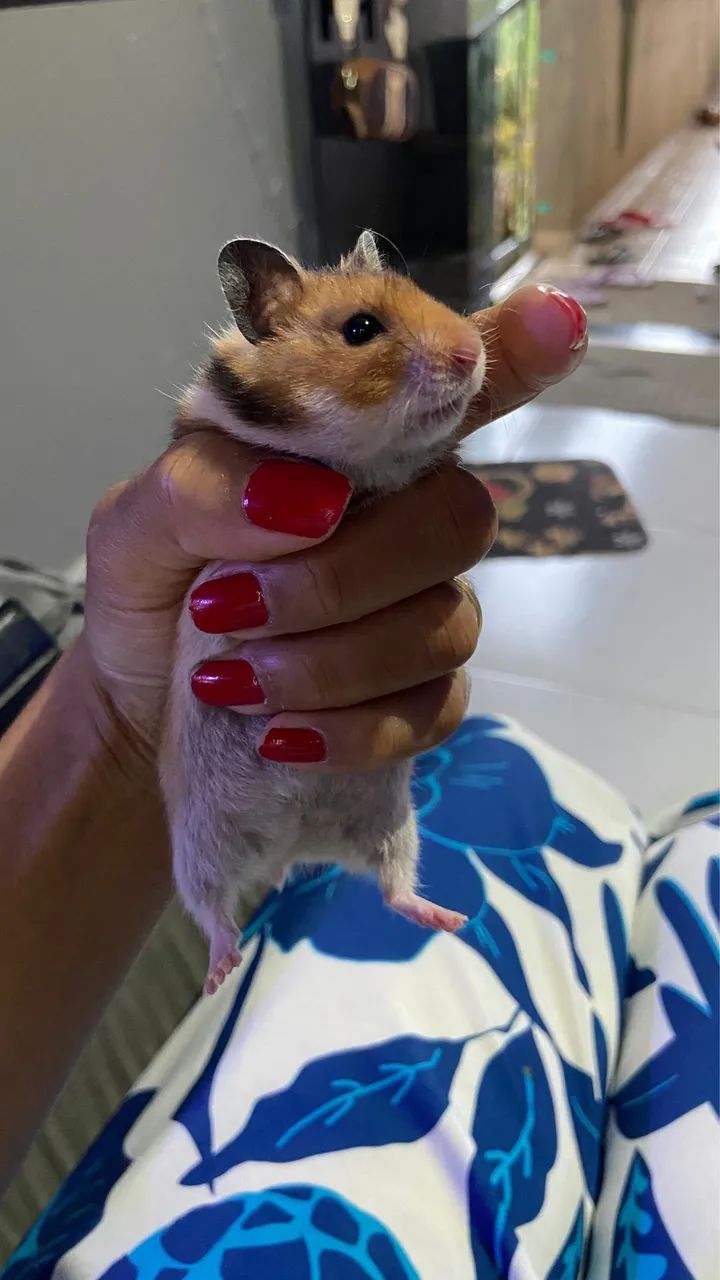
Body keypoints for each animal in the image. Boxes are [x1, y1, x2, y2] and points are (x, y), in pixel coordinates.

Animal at [161, 230, 486, 993]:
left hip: (391, 822)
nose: (472, 351)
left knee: (393, 888)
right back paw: (222, 971)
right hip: (196, 848)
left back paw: (454, 920)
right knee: (215, 912)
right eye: (360, 329)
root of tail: (295, 841)